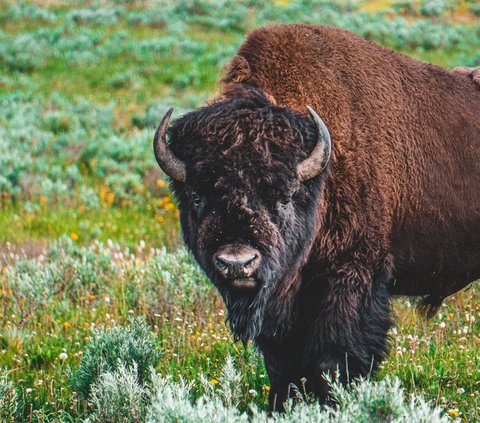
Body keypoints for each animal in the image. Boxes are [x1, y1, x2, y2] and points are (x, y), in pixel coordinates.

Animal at [152, 24, 478, 412]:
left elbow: (332, 361)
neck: (321, 177)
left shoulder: (351, 277)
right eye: (198, 197)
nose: (237, 263)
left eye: (284, 197)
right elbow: (282, 365)